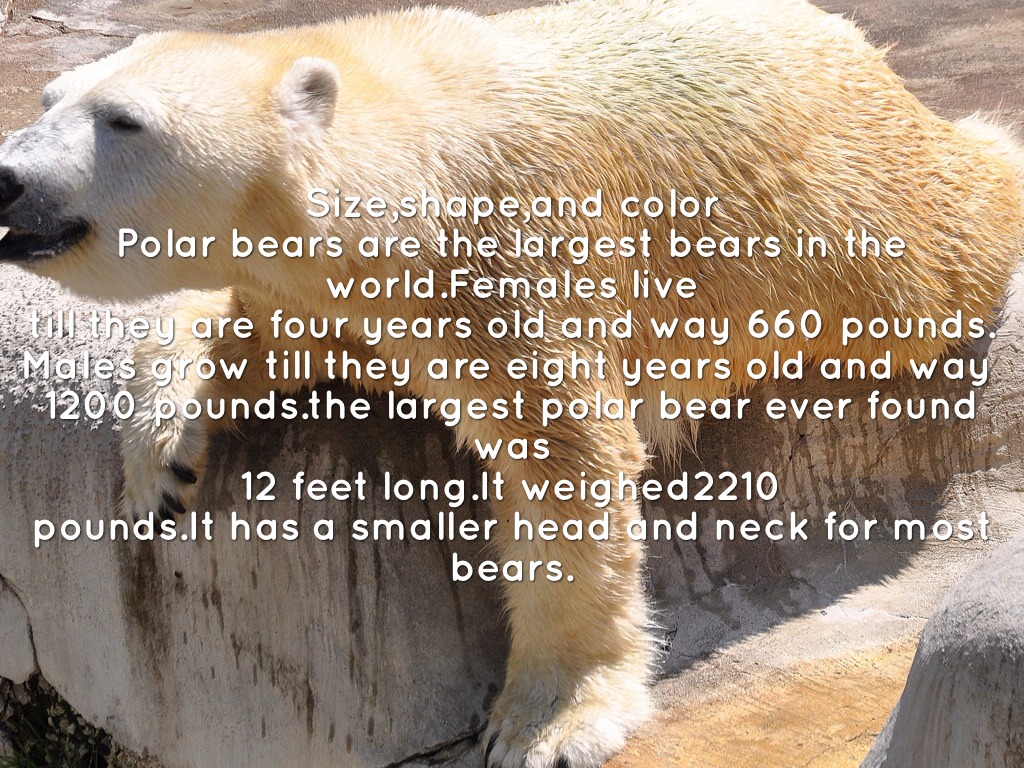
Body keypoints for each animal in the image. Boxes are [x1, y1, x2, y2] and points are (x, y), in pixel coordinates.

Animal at [0, 0, 1022, 766]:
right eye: (50, 96)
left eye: (125, 119)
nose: (7, 175)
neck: (401, 158)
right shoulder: (339, 290)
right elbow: (250, 329)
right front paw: (160, 470)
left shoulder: (511, 251)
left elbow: (565, 461)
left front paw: (549, 720)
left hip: (849, 224)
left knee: (946, 237)